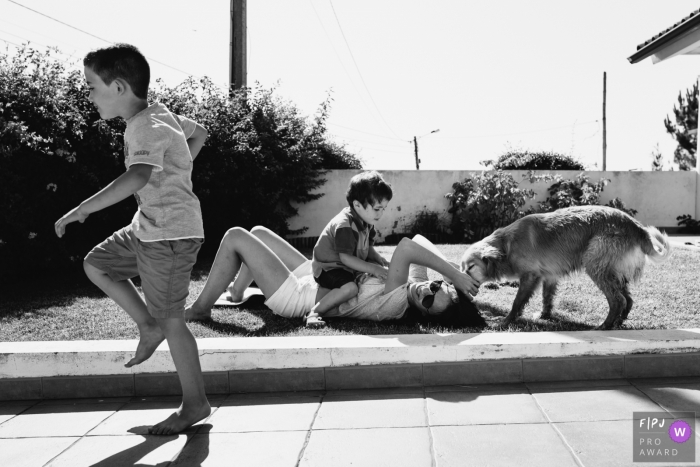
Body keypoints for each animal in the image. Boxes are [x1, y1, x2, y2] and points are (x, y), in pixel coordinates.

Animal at [460, 207, 672, 330]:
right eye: (462, 267)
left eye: (470, 267)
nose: (458, 284)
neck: (506, 246)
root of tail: (638, 229)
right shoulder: (549, 276)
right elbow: (547, 298)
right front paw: (544, 315)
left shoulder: (530, 276)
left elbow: (517, 302)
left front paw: (506, 320)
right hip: (612, 271)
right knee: (628, 298)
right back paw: (618, 322)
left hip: (594, 263)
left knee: (617, 300)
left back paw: (604, 326)